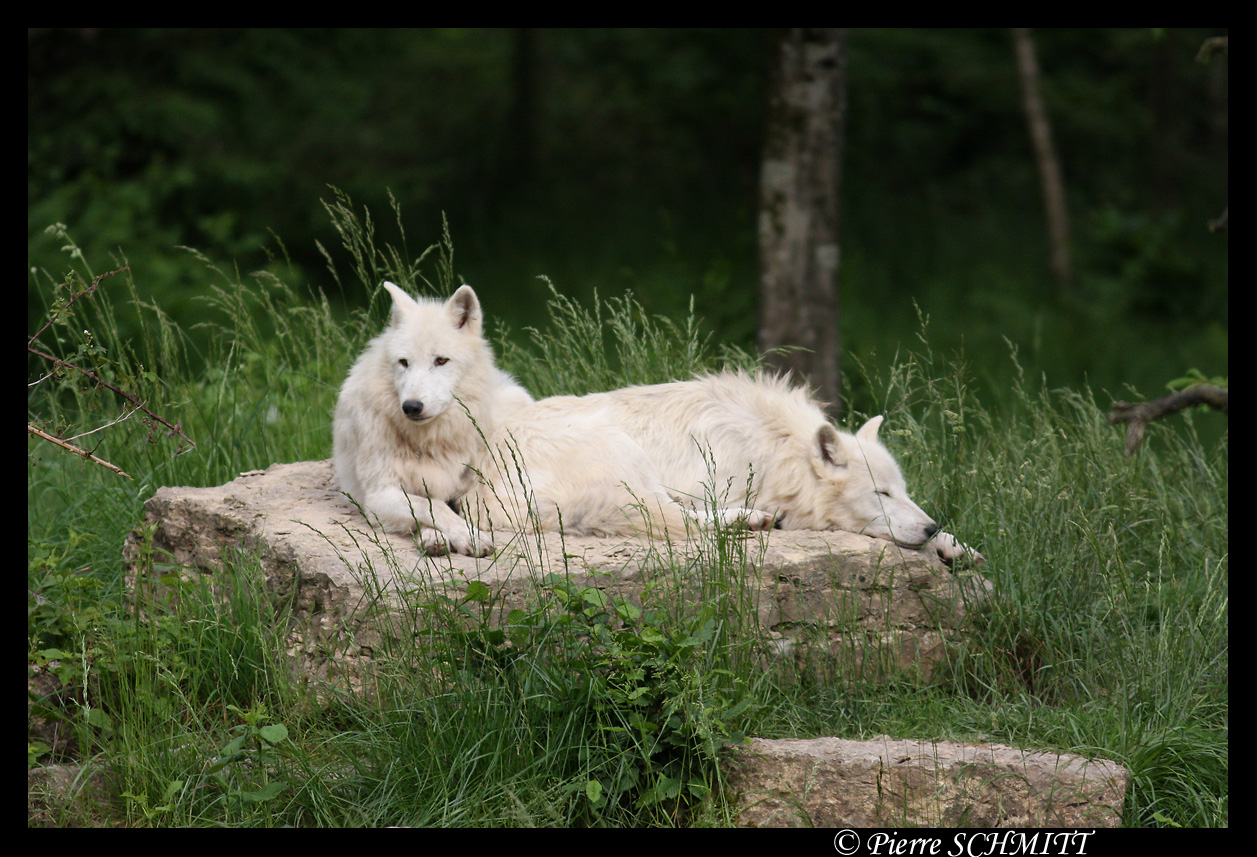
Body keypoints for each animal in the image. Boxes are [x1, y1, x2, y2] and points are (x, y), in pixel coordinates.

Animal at [472, 366, 980, 560]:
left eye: (903, 491)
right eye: (881, 492)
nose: (931, 527)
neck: (774, 447)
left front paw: (955, 545)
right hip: (624, 453)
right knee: (681, 522)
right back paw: (752, 520)